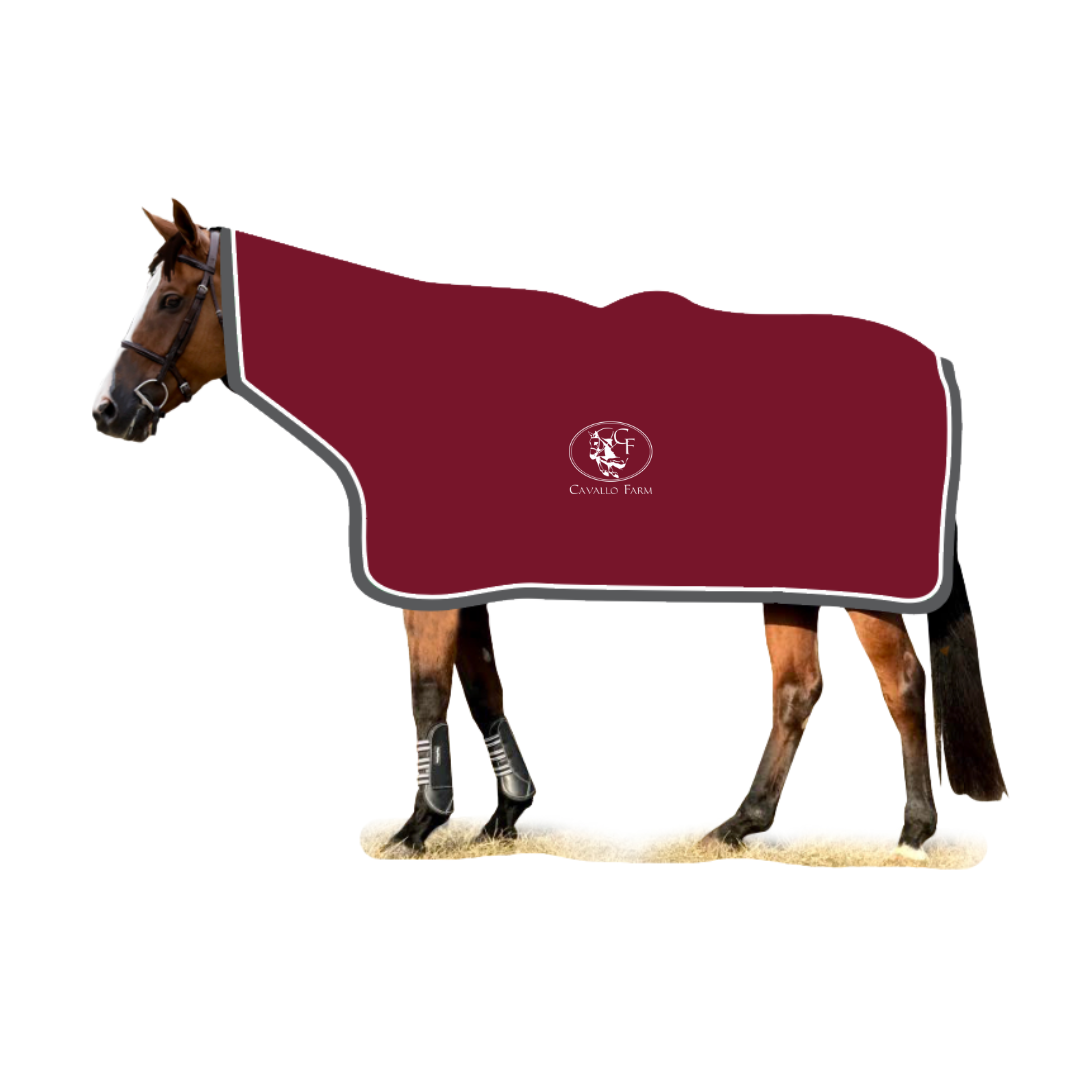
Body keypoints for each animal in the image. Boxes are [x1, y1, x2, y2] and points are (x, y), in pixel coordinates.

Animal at [92, 200, 1007, 860]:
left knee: (902, 686)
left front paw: (419, 826)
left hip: (864, 588)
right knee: (796, 691)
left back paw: (912, 832)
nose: (110, 412)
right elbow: (482, 686)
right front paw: (504, 813)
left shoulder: (424, 583)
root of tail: (936, 365)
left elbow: (427, 692)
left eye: (169, 300)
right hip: (791, 584)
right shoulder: (460, 580)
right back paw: (736, 824)